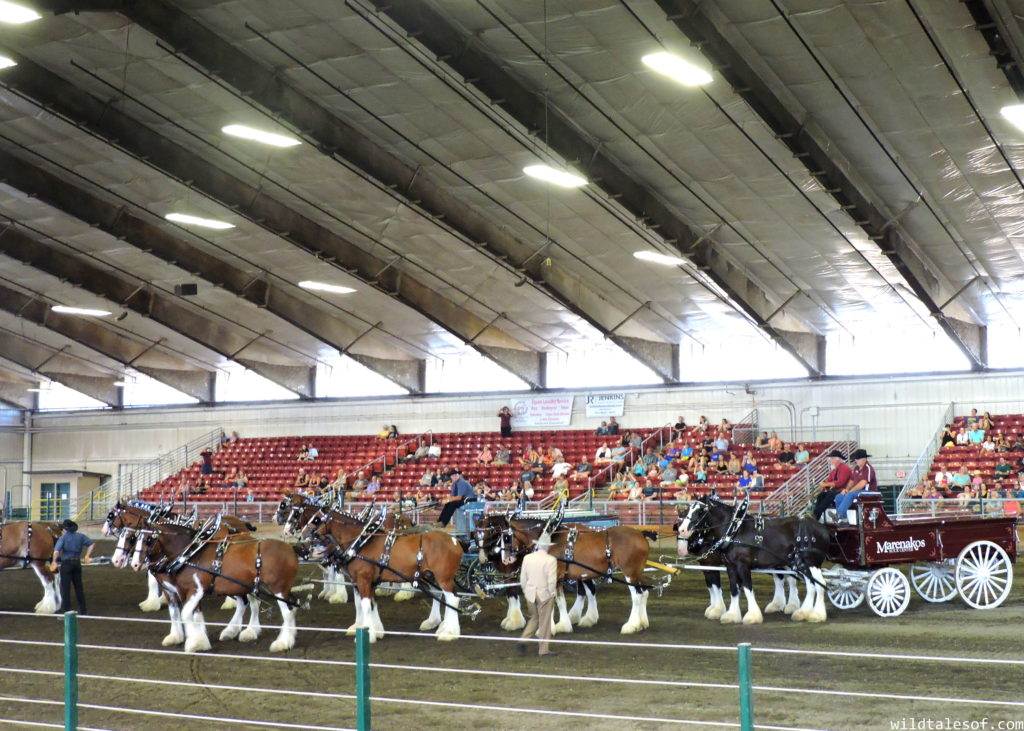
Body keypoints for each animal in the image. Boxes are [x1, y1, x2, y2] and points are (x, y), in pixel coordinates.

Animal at [305, 509, 462, 638]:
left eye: (316, 519)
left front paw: (368, 633)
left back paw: (449, 632)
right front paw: (377, 630)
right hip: (430, 576)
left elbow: (365, 605)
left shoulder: (363, 580)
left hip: (444, 578)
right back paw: (437, 624)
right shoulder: (370, 582)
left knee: (453, 599)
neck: (361, 542)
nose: (307, 537)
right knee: (440, 596)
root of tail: (454, 540)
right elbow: (372, 604)